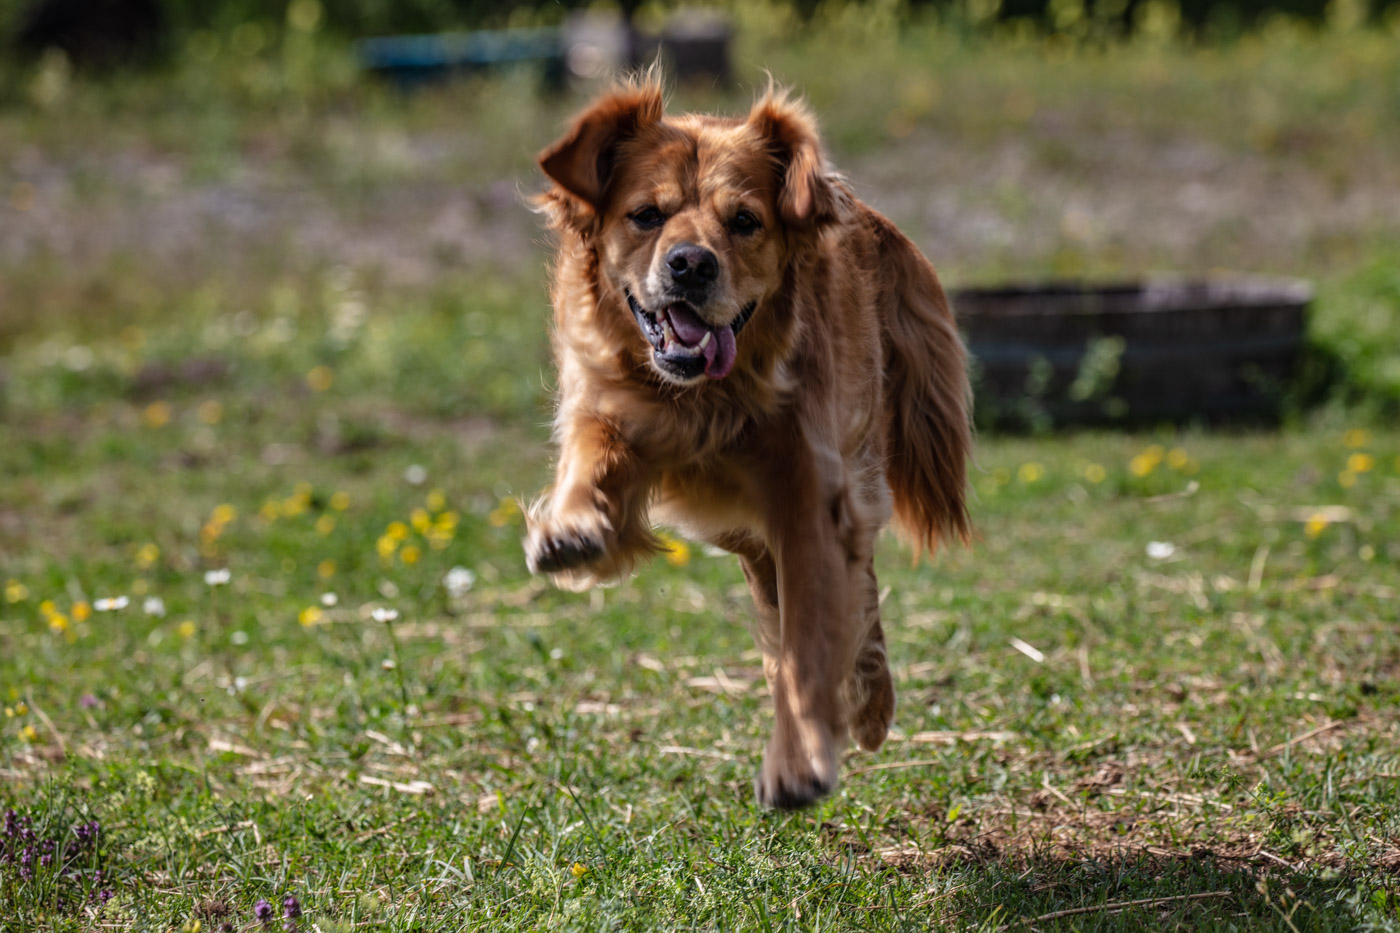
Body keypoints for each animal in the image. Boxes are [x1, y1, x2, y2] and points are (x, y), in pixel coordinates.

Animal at [520, 78, 968, 806]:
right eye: (646, 215)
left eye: (745, 221)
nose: (690, 266)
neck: (705, 401)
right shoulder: (611, 407)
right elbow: (593, 456)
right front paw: (571, 528)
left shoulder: (809, 493)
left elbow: (809, 643)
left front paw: (799, 758)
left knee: (854, 590)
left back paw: (868, 695)